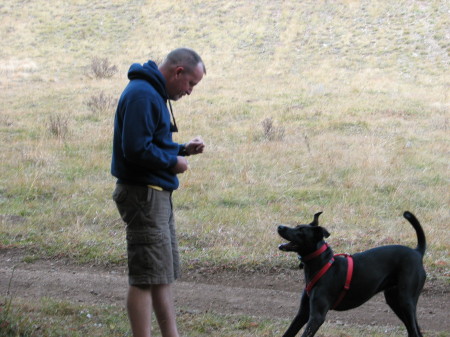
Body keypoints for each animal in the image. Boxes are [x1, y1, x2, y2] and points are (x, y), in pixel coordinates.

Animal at [276, 211, 428, 334]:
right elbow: (288, 333)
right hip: (394, 301)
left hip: (406, 302)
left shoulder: (316, 317)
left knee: (414, 332)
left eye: (301, 231)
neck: (322, 264)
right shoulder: (302, 314)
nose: (280, 227)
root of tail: (417, 252)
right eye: (296, 226)